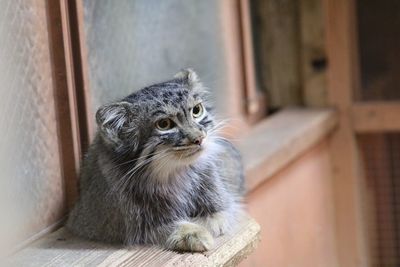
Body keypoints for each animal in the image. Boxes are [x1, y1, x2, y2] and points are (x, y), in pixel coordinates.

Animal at [66, 69, 244, 253]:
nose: (199, 138)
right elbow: (161, 227)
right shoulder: (118, 225)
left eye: (196, 110)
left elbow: (220, 214)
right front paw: (192, 233)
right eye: (164, 124)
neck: (174, 174)